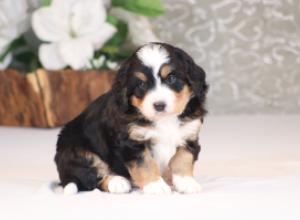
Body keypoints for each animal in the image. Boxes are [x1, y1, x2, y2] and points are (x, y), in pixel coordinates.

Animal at [55, 42, 207, 194]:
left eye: (171, 78)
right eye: (141, 84)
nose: (159, 105)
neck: (164, 120)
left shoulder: (189, 134)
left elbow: (183, 158)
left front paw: (186, 182)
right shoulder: (131, 142)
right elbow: (146, 164)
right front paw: (155, 186)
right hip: (76, 151)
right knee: (91, 177)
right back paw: (117, 182)